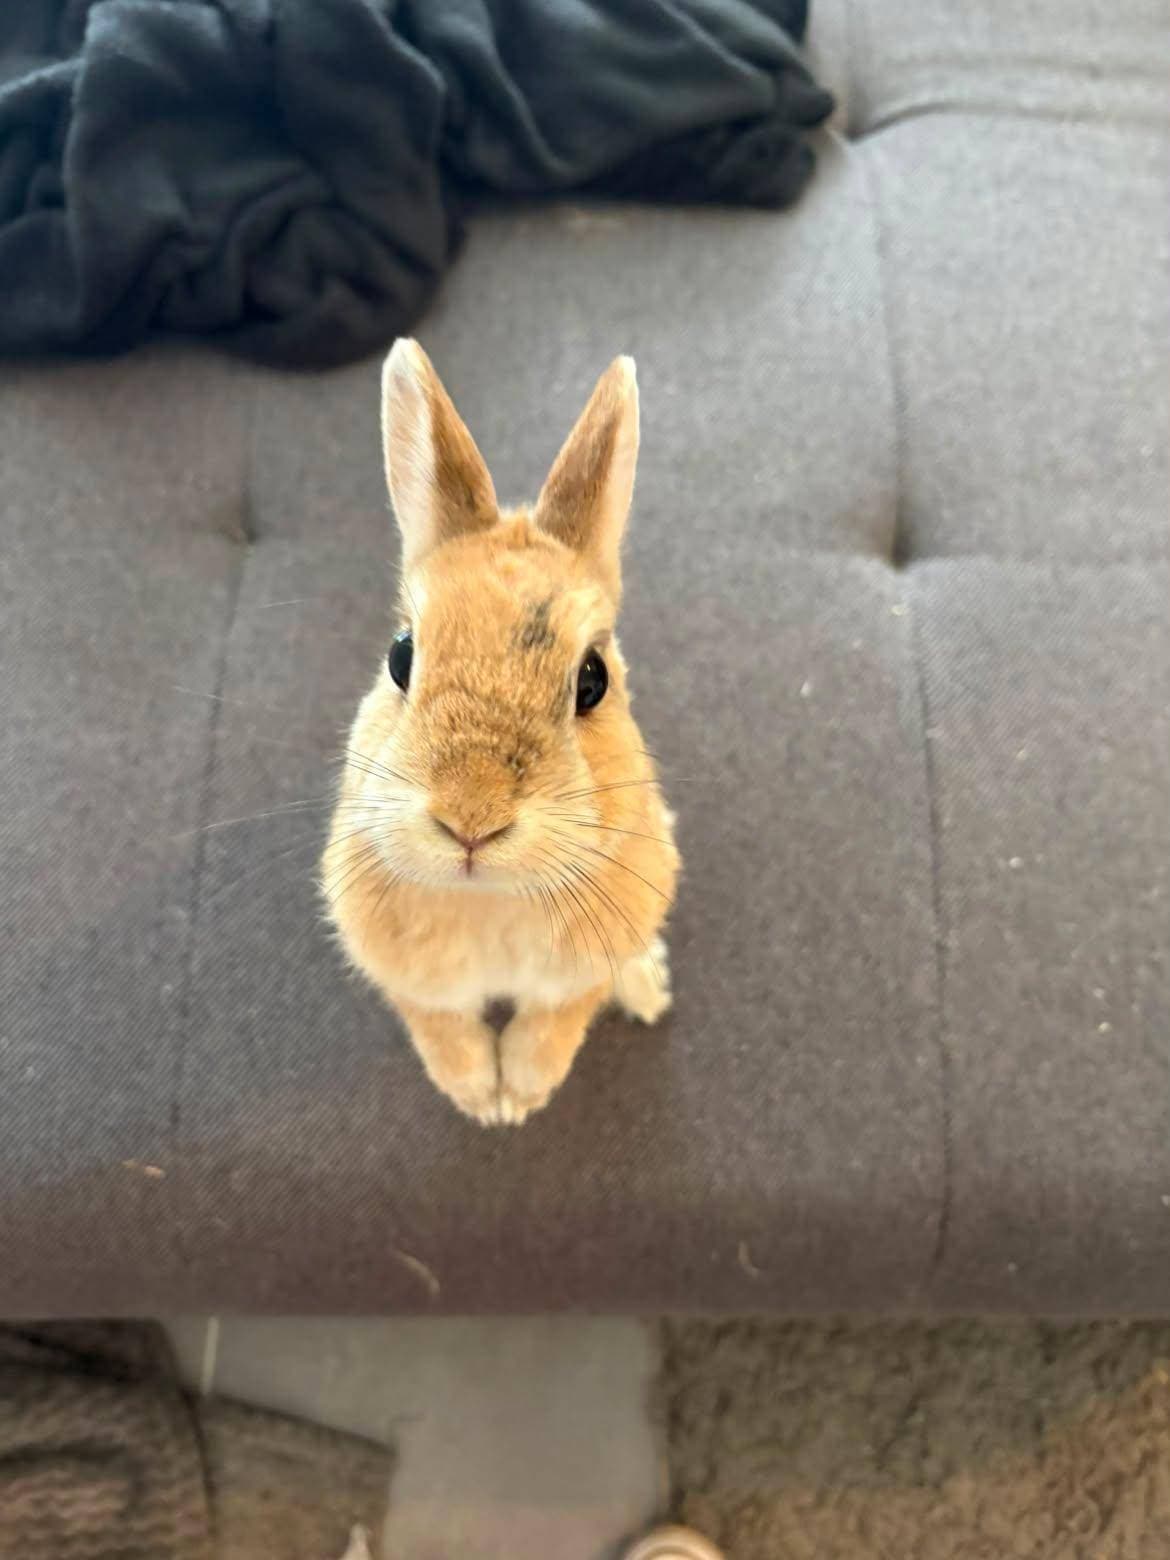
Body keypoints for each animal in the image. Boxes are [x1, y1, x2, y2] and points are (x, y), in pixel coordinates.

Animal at [320, 340, 679, 1126]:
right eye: (400, 656)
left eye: (592, 680)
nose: (471, 819)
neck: (491, 900)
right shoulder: (411, 982)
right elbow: (441, 1029)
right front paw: (481, 1099)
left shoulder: (579, 974)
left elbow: (557, 1022)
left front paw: (519, 1097)